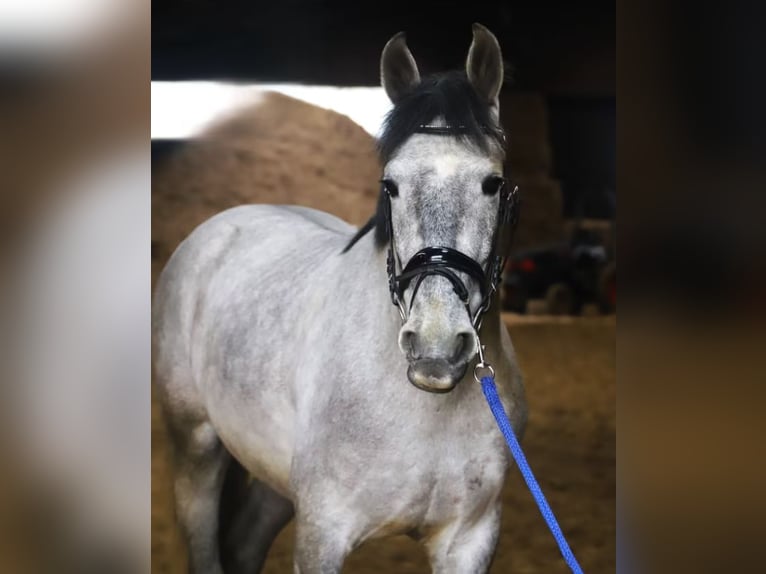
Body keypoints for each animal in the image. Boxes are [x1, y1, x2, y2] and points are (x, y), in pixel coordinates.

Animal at [152, 23, 527, 573]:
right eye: (390, 185)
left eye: (493, 182)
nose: (435, 348)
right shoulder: (322, 535)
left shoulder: (470, 540)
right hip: (196, 447)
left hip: (273, 480)